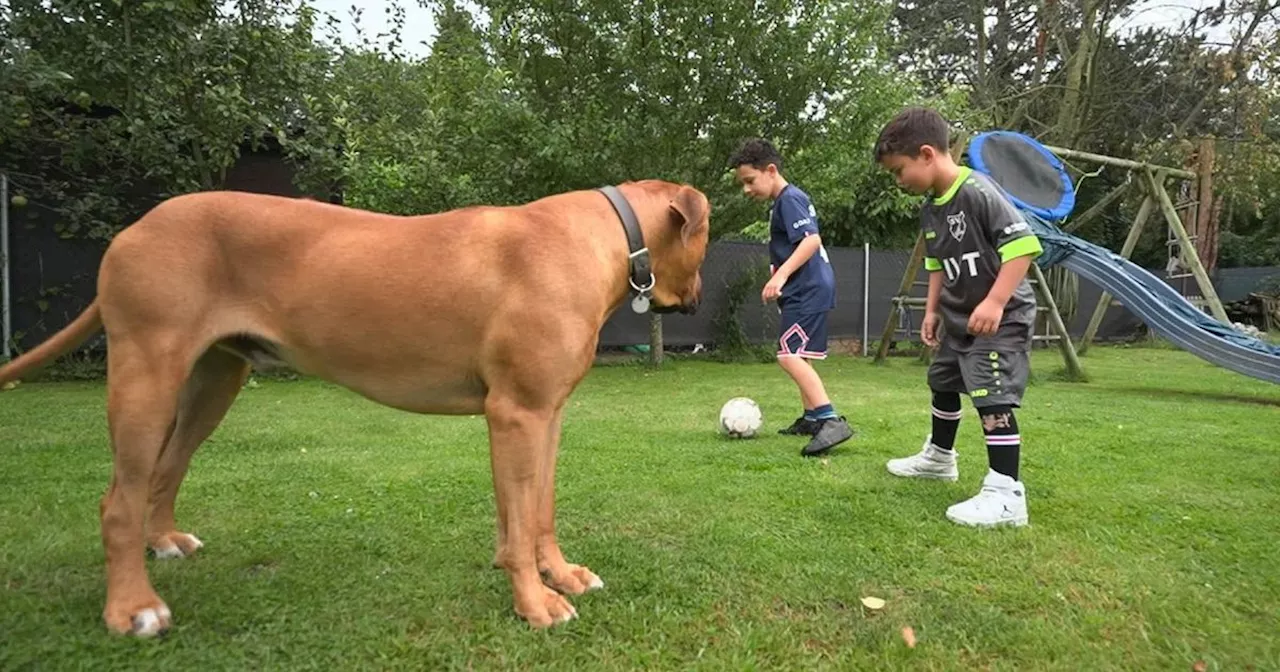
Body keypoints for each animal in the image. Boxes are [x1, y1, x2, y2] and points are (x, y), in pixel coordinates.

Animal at [0, 177, 711, 634]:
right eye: (707, 236)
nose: (700, 294)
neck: (606, 235)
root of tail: (134, 228)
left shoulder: (547, 415)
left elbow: (538, 512)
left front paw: (556, 575)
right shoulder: (517, 415)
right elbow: (519, 520)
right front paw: (533, 604)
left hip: (212, 380)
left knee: (163, 472)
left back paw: (164, 543)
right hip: (146, 376)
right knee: (117, 500)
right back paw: (131, 607)